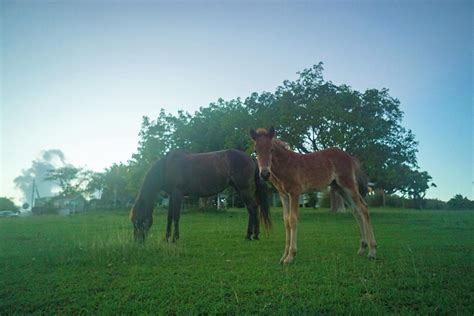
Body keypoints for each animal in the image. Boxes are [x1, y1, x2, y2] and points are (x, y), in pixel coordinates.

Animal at [130, 148, 270, 242]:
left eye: (138, 220)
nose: (137, 241)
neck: (166, 167)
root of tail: (251, 158)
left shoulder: (177, 194)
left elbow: (176, 217)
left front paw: (175, 238)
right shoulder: (171, 196)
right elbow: (169, 217)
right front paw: (167, 237)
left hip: (244, 189)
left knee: (252, 209)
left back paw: (249, 235)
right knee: (254, 208)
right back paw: (255, 235)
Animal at [248, 128, 378, 264]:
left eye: (271, 149)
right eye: (255, 150)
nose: (265, 174)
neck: (285, 164)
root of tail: (350, 157)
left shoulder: (295, 192)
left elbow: (293, 219)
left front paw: (291, 256)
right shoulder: (283, 195)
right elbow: (286, 221)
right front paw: (283, 256)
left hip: (348, 184)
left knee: (363, 208)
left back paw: (372, 251)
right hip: (340, 188)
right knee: (356, 211)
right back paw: (362, 248)